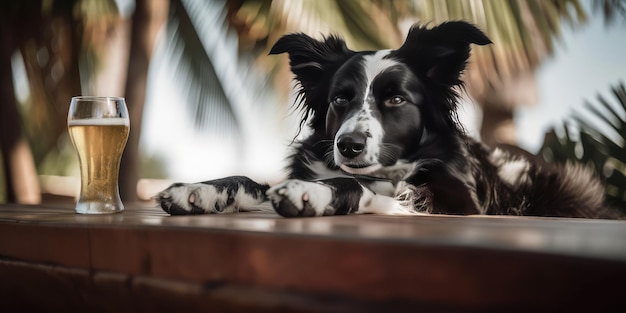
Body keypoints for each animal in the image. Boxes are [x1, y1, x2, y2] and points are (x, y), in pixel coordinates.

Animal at [155, 21, 616, 217]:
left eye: (396, 99)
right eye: (340, 99)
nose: (348, 145)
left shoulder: (460, 203)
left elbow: (368, 187)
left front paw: (314, 194)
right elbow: (253, 181)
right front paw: (201, 190)